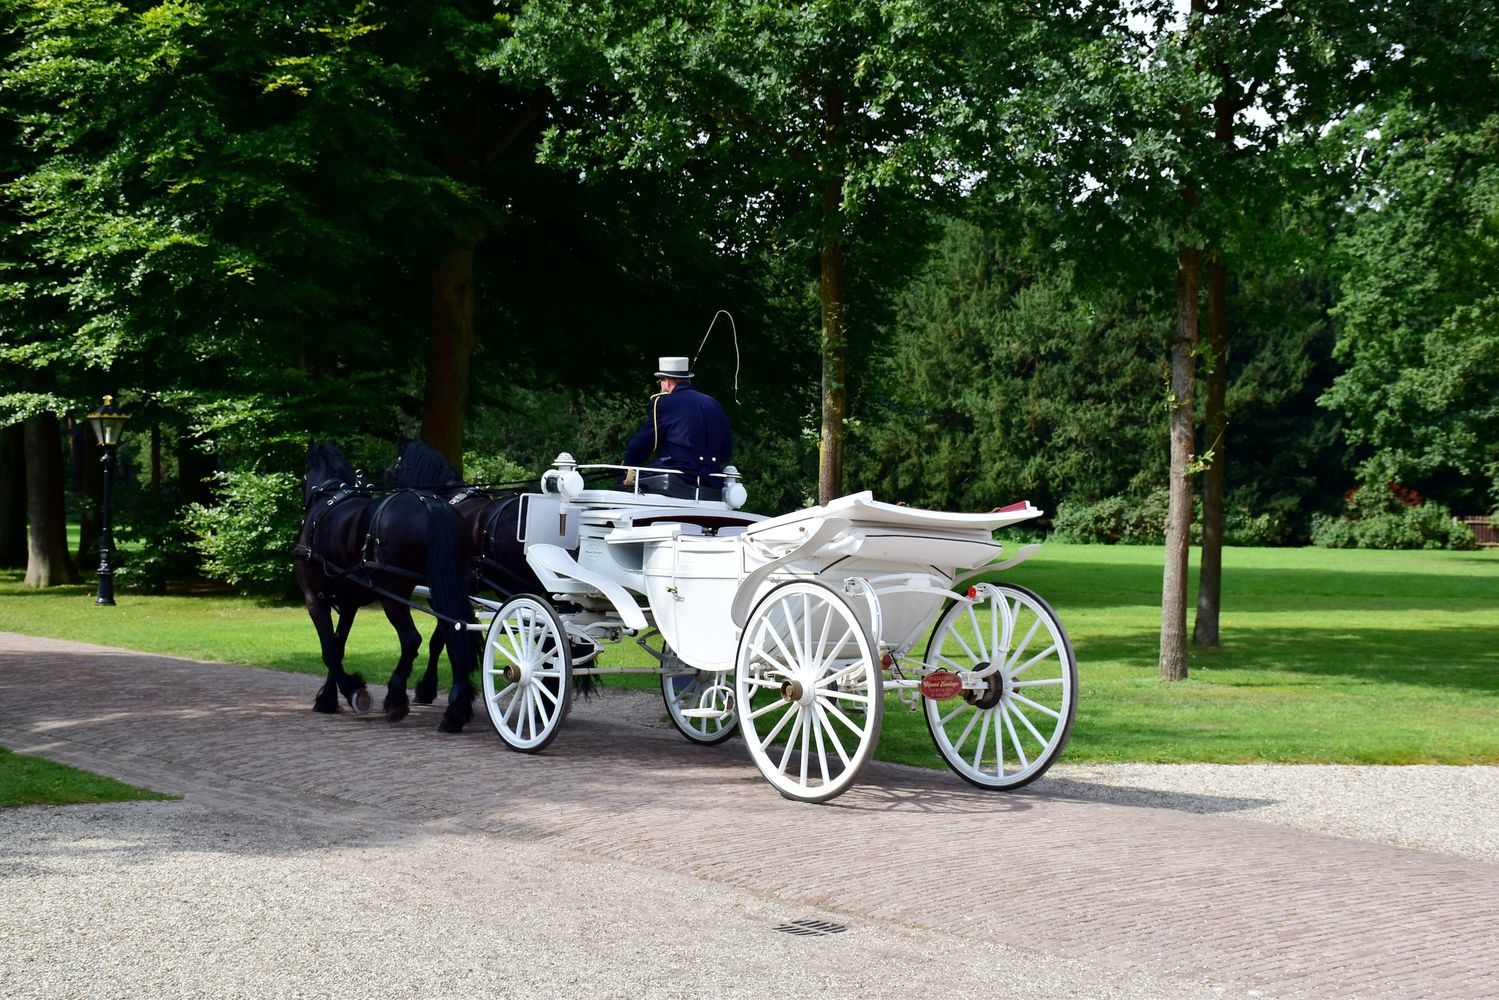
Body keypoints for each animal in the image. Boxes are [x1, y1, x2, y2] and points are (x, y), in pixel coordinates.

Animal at [292, 440, 479, 731]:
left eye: (303, 469)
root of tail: (430, 504)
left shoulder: (314, 600)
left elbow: (328, 650)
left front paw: (351, 691)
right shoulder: (348, 604)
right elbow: (338, 646)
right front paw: (329, 697)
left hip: (394, 593)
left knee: (412, 639)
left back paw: (396, 698)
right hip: (448, 586)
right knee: (456, 632)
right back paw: (455, 709)